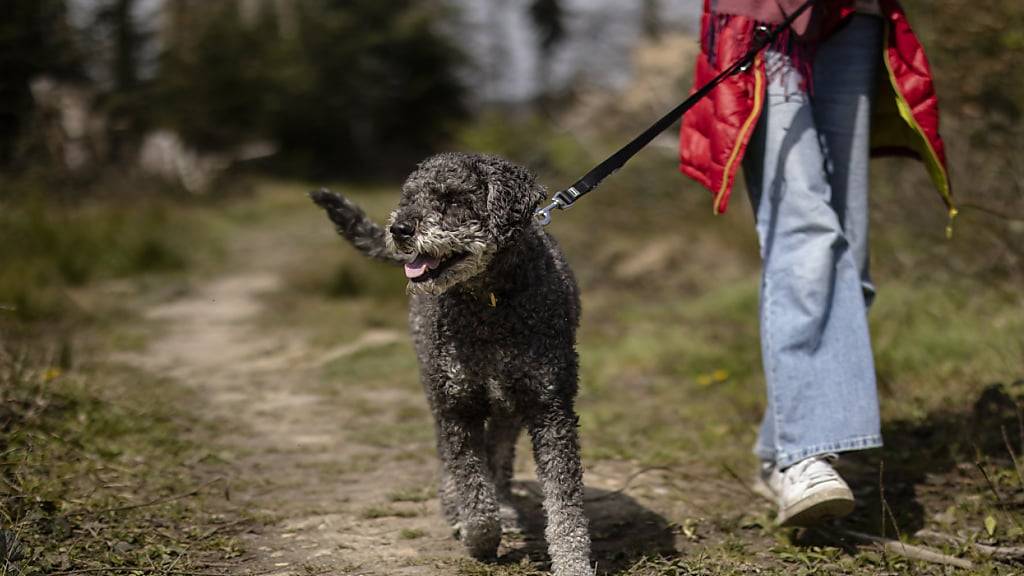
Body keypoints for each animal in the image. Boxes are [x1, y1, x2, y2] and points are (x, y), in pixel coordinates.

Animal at [309, 150, 593, 569]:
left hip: (508, 406)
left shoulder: (550, 406)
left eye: (453, 200)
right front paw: (477, 536)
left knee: (499, 454)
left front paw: (572, 563)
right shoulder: (457, 406)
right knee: (450, 460)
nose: (400, 229)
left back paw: (505, 505)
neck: (490, 303)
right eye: (410, 197)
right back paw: (456, 508)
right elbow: (473, 490)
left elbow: (564, 504)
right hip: (438, 391)